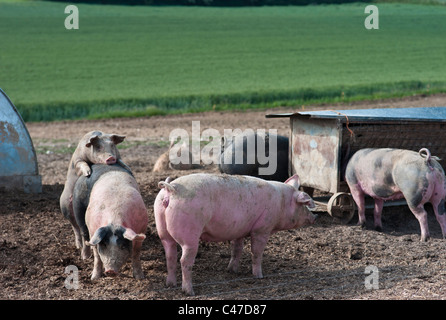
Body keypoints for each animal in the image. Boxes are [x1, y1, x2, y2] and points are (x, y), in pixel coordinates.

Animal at [153, 172, 318, 296]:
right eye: (304, 205)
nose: (315, 217)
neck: (282, 202)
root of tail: (171, 189)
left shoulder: (239, 230)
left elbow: (237, 249)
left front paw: (232, 271)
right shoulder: (262, 229)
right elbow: (256, 252)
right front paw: (259, 276)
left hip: (162, 230)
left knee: (170, 256)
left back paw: (170, 284)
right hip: (190, 234)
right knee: (184, 260)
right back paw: (189, 292)